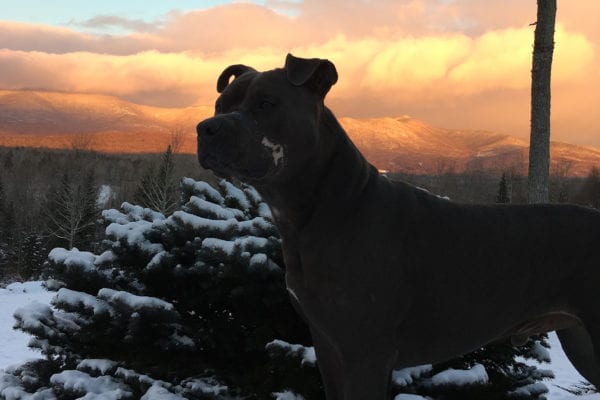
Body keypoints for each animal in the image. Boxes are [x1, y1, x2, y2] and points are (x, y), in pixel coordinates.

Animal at [197, 53, 600, 399]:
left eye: (266, 103)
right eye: (219, 106)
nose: (206, 128)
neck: (325, 212)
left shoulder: (365, 352)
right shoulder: (328, 346)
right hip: (581, 341)